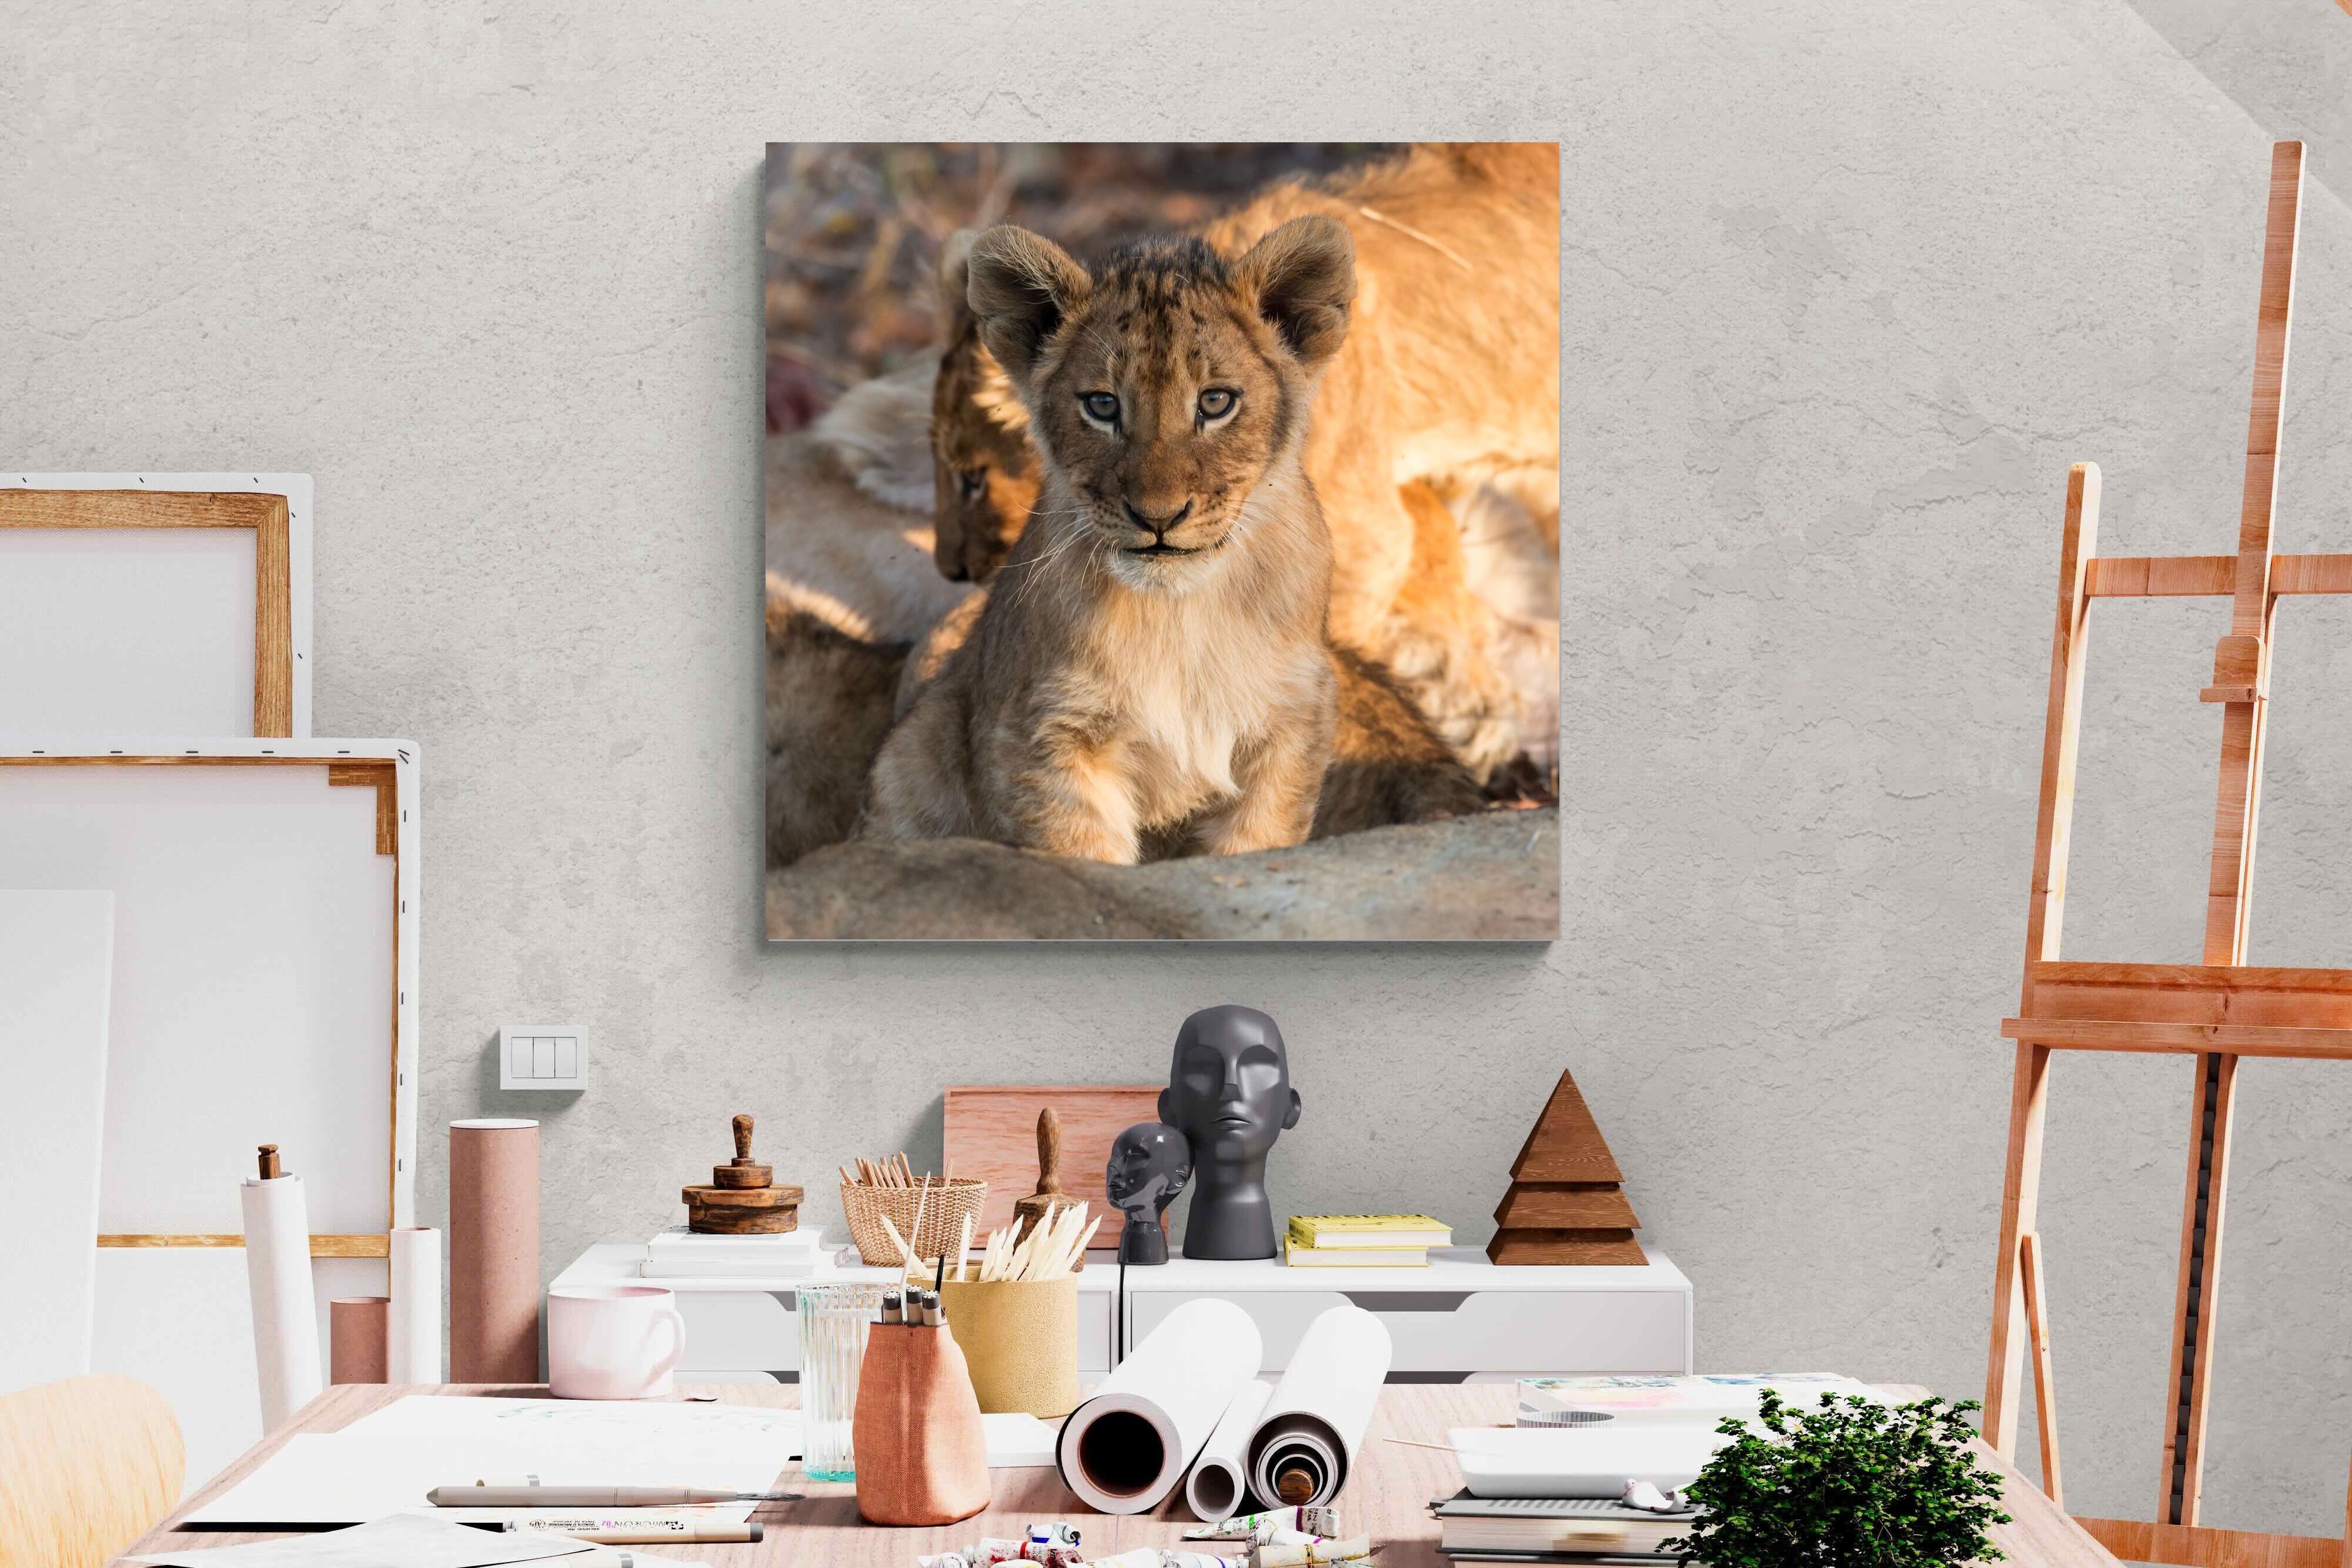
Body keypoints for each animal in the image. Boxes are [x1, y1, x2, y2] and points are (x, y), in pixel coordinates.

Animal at [863, 217, 1375, 862]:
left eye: (1216, 402)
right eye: (1102, 405)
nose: (1158, 517)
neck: (1180, 616)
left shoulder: (1290, 725)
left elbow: (1254, 847)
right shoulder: (1044, 734)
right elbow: (1082, 858)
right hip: (916, 752)